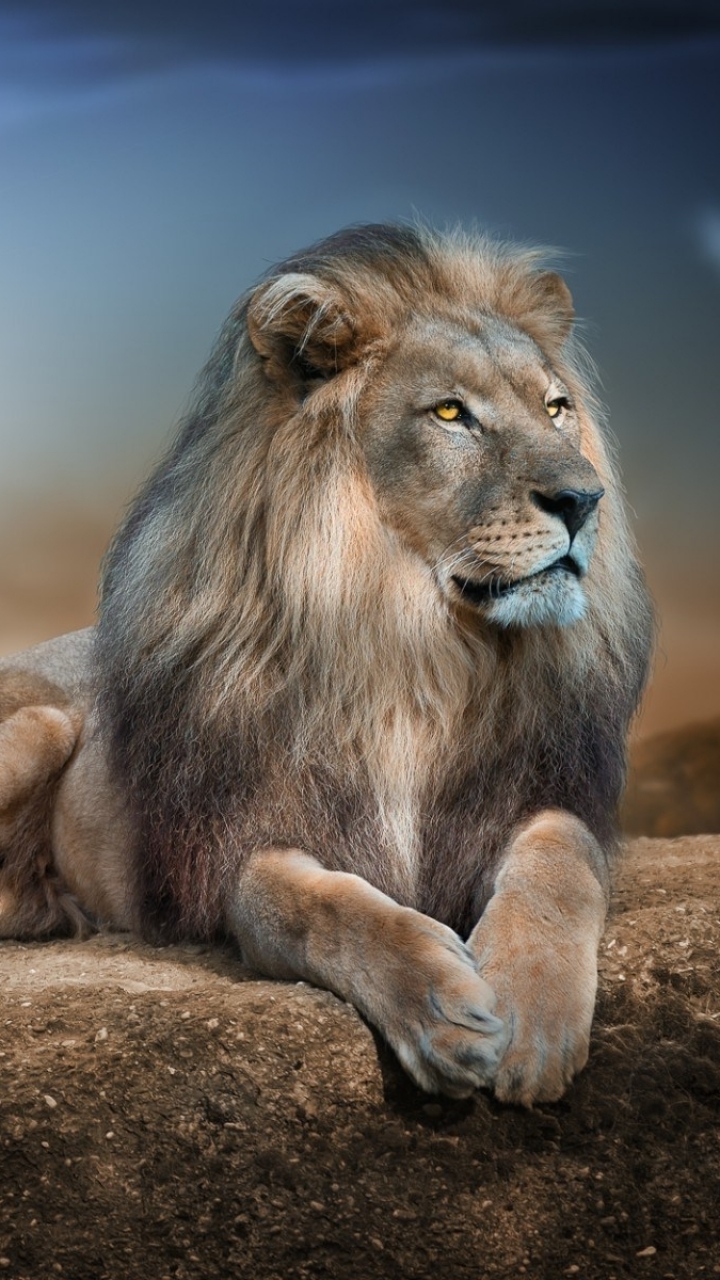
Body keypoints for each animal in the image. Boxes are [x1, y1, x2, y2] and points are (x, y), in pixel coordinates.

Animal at [0, 223, 653, 1105]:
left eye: (557, 408)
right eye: (451, 412)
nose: (585, 501)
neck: (415, 649)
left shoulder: (535, 791)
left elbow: (562, 859)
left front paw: (533, 1018)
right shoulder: (241, 841)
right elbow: (314, 905)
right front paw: (441, 1009)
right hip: (39, 722)